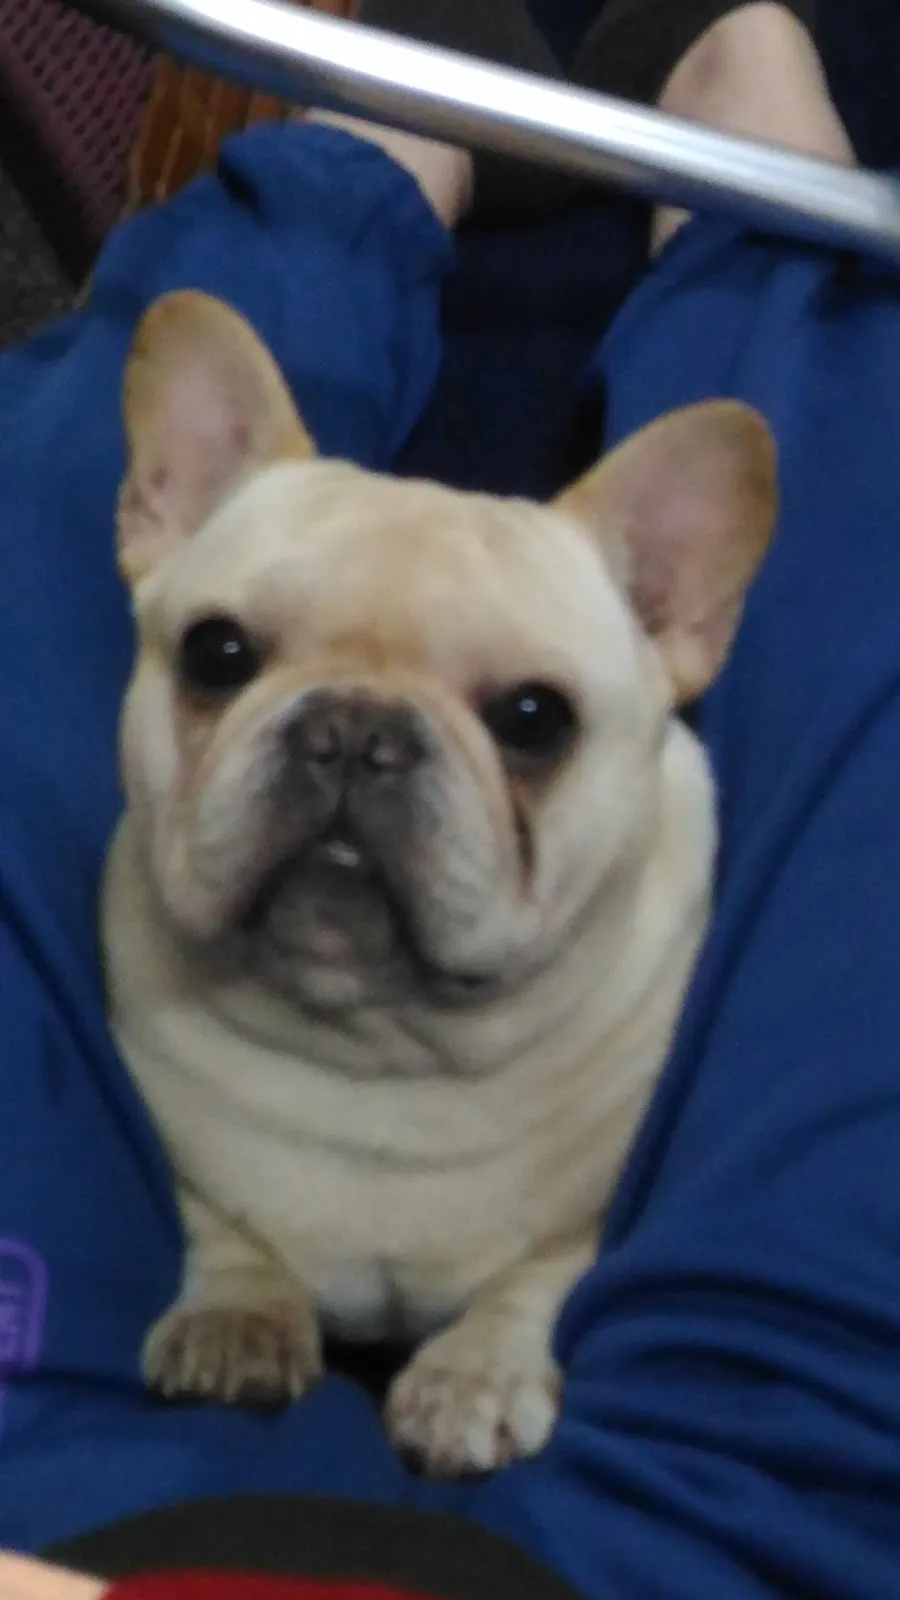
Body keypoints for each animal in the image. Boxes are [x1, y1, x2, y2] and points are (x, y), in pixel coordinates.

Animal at [102, 289, 776, 1478]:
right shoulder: (188, 1156)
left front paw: (477, 1374)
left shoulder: (586, 1225)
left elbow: (538, 1278)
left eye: (535, 718)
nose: (353, 729)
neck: (384, 1047)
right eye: (216, 653)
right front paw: (237, 1316)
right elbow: (220, 1221)